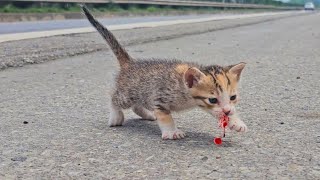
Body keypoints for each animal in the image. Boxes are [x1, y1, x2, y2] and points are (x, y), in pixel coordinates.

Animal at [82, 5, 248, 139]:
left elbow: (221, 111)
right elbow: (165, 117)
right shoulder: (160, 98)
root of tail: (130, 63)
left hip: (142, 94)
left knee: (137, 105)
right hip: (127, 94)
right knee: (114, 98)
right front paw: (172, 131)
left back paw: (148, 115)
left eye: (233, 97)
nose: (228, 112)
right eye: (212, 100)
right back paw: (116, 117)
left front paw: (235, 121)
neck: (184, 90)